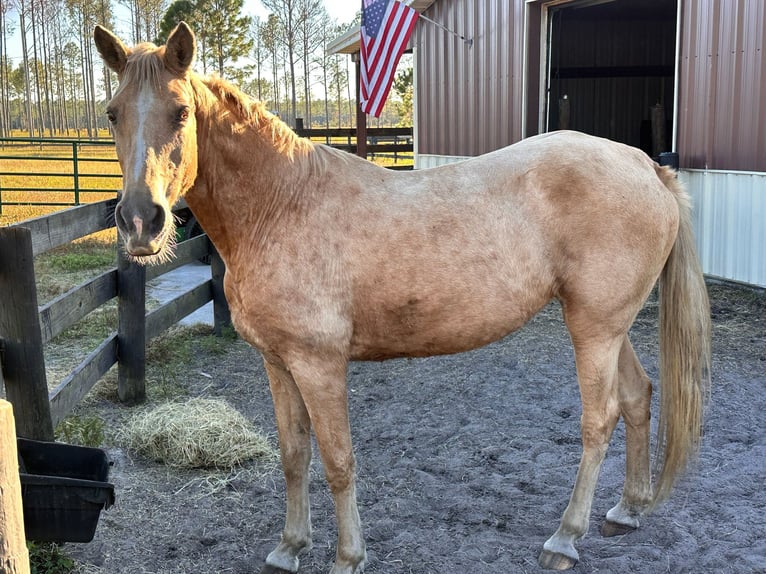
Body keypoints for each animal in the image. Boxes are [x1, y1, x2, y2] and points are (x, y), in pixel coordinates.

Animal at [94, 22, 711, 574]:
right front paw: (289, 548)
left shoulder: (319, 364)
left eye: (180, 111)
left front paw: (347, 558)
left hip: (595, 329)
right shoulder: (277, 360)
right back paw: (626, 511)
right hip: (608, 325)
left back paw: (564, 539)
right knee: (637, 396)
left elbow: (338, 460)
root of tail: (646, 165)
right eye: (112, 113)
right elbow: (294, 455)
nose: (140, 222)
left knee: (599, 419)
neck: (282, 205)